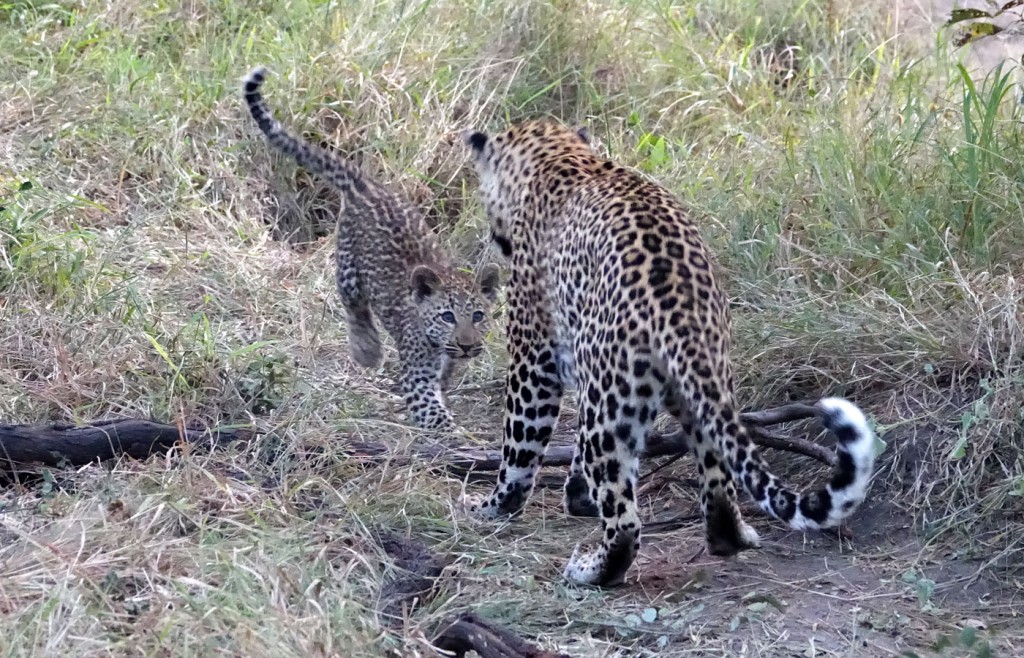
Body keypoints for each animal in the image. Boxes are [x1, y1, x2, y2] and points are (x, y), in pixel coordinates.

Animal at [460, 122, 876, 585]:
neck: (559, 154)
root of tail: (682, 311)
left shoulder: (534, 358)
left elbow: (519, 445)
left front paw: (491, 506)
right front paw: (577, 496)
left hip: (609, 399)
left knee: (624, 520)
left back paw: (589, 569)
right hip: (699, 393)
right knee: (718, 485)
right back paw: (732, 536)